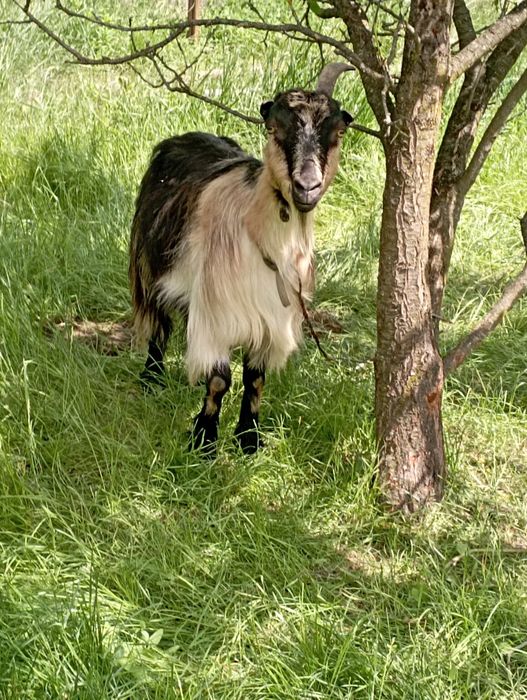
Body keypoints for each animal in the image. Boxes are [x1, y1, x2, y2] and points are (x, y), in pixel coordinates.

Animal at [129, 63, 352, 454]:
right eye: (274, 128)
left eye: (338, 131)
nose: (306, 185)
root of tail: (185, 137)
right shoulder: (216, 314)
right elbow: (220, 379)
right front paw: (204, 440)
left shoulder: (270, 321)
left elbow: (255, 379)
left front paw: (249, 437)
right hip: (147, 264)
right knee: (158, 326)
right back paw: (151, 379)